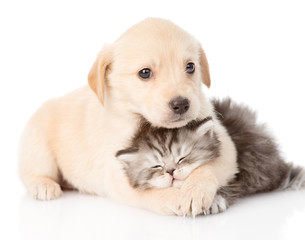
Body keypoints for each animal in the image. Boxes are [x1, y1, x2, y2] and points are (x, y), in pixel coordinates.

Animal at [18, 16, 238, 216]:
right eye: (145, 73)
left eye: (190, 67)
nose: (182, 104)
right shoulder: (120, 177)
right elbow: (156, 192)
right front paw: (177, 197)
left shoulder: (226, 146)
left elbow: (207, 168)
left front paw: (196, 192)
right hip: (38, 144)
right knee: (31, 172)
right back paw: (43, 185)